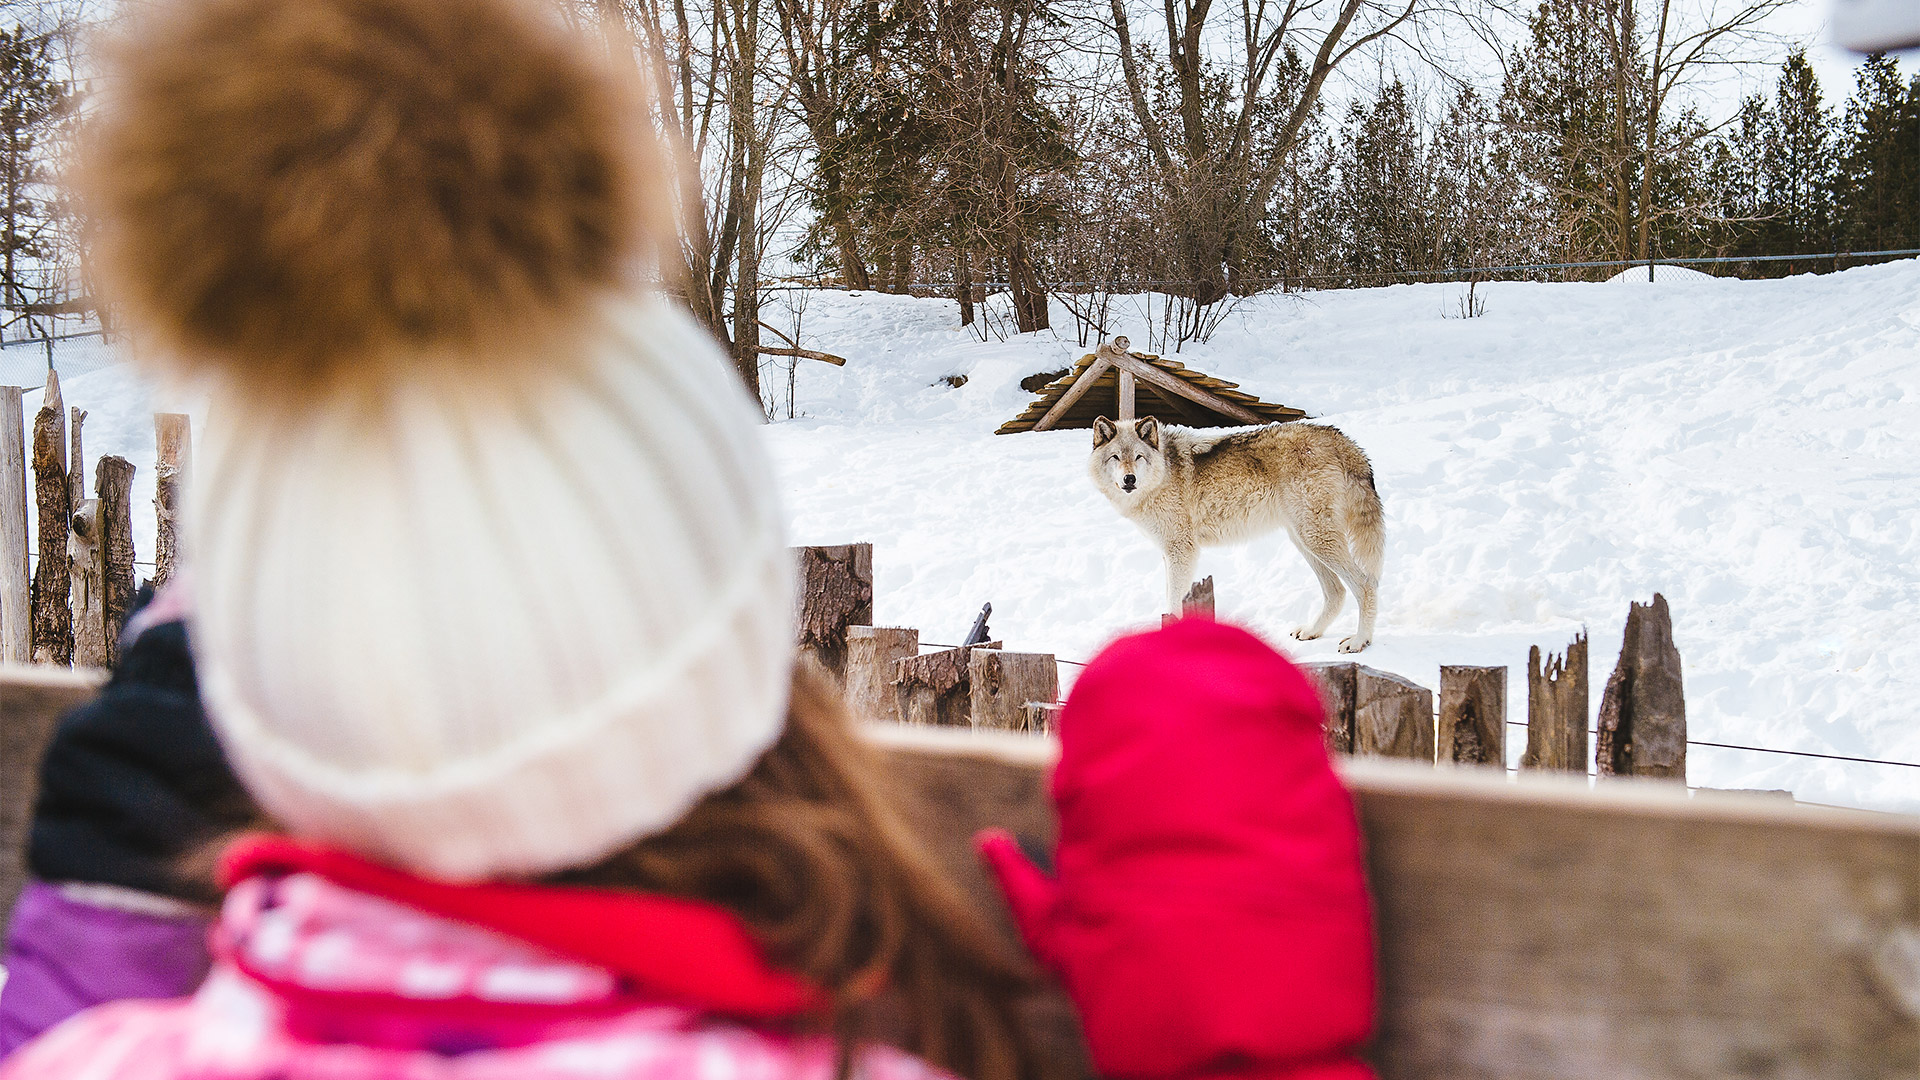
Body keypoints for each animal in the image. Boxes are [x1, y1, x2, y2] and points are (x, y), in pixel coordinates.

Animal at [1090, 411, 1390, 645]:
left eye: (1138, 457)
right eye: (1115, 457)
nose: (1129, 479)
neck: (1164, 471)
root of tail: (1342, 440)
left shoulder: (1182, 550)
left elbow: (1174, 602)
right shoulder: (1169, 553)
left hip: (1315, 538)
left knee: (1365, 584)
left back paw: (1360, 641)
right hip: (1303, 540)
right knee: (1337, 592)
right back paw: (1312, 631)